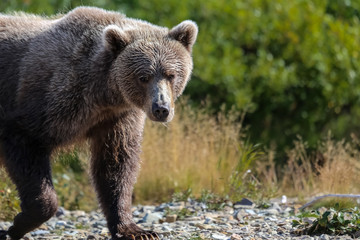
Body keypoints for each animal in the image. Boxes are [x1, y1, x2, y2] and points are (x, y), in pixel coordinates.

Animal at [0, 6, 197, 240]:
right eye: (143, 77)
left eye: (171, 74)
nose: (161, 108)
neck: (104, 94)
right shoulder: (49, 99)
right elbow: (24, 142)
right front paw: (18, 224)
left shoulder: (117, 118)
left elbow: (115, 165)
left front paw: (135, 230)